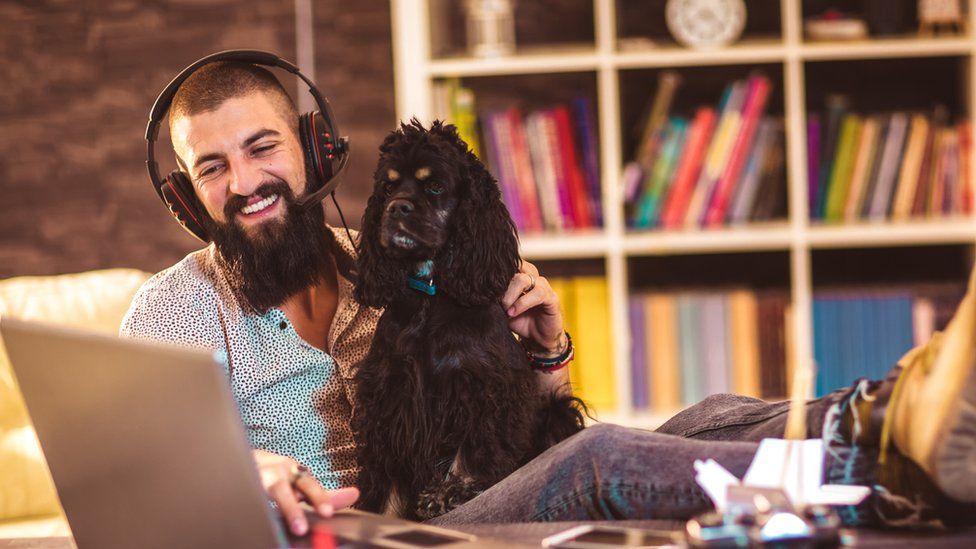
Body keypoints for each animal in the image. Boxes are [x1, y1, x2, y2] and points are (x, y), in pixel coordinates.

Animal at [350, 119, 584, 520]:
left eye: (435, 187)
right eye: (388, 186)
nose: (395, 208)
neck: (430, 294)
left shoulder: (483, 387)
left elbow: (475, 447)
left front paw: (450, 492)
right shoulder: (390, 395)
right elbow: (389, 477)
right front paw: (381, 513)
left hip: (556, 412)